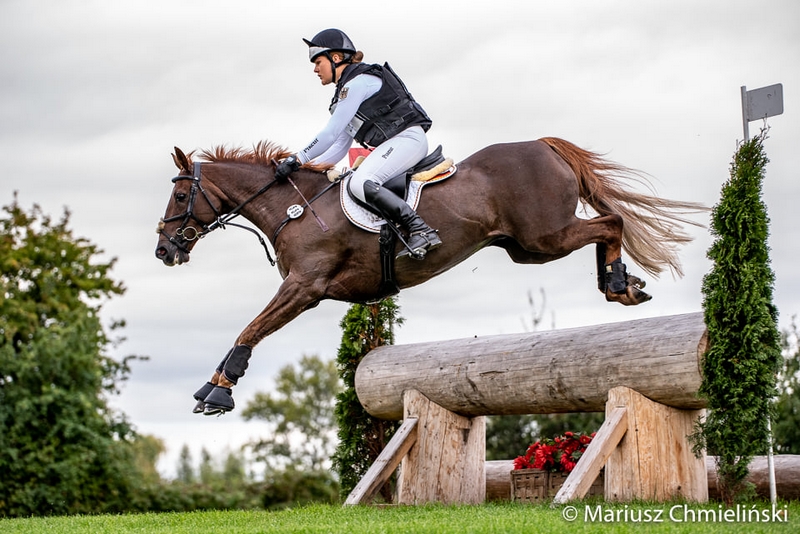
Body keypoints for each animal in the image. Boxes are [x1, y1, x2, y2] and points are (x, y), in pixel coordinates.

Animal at [153, 136, 704, 416]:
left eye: (180, 196)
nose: (163, 250)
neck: (294, 208)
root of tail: (544, 145)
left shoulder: (304, 288)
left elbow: (251, 328)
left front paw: (217, 391)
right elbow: (253, 326)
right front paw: (213, 388)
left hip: (545, 235)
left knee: (611, 222)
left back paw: (618, 285)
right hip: (526, 249)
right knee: (603, 226)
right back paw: (622, 283)